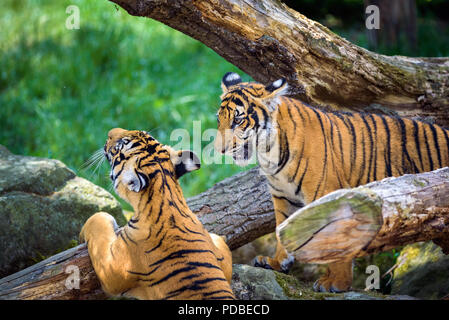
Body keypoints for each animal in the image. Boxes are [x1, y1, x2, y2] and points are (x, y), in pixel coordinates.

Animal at [79, 127, 234, 300]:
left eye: (119, 146)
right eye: (142, 132)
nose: (110, 132)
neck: (168, 195)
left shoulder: (111, 269)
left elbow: (97, 223)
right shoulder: (223, 264)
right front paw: (217, 237)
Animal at [213, 72, 448, 292]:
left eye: (238, 120)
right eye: (219, 120)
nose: (219, 150)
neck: (269, 153)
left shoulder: (327, 195)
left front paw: (336, 283)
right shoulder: (283, 197)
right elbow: (281, 229)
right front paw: (276, 262)